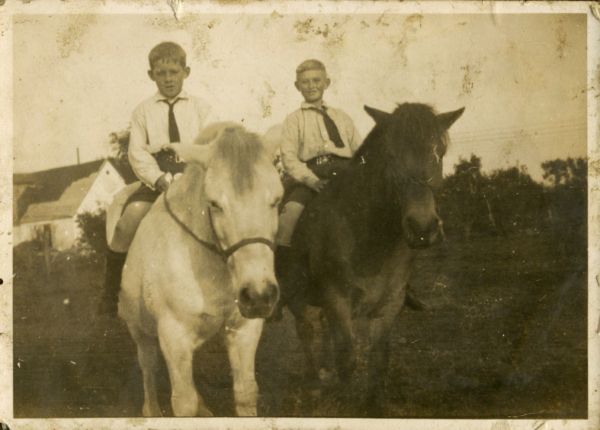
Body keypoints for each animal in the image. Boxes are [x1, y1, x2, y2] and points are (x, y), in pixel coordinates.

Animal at [119, 124, 286, 416]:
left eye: (276, 200)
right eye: (215, 204)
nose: (258, 295)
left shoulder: (244, 330)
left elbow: (245, 393)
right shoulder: (174, 337)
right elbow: (183, 402)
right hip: (140, 331)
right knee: (148, 368)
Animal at [280, 102, 464, 414]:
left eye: (438, 153)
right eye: (391, 156)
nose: (422, 228)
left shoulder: (389, 303)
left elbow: (379, 357)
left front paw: (375, 407)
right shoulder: (337, 299)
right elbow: (347, 358)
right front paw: (345, 406)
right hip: (299, 298)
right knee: (307, 332)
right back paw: (314, 386)